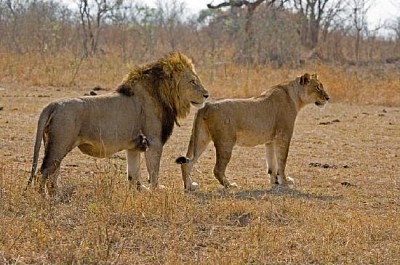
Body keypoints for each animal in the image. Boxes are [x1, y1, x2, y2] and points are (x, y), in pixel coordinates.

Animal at [27, 52, 209, 196]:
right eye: (193, 81)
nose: (207, 95)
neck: (163, 94)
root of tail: (53, 105)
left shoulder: (134, 145)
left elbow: (133, 173)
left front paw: (138, 190)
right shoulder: (154, 141)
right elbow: (154, 171)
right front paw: (156, 191)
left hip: (54, 144)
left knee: (53, 173)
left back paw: (56, 193)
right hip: (60, 144)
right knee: (43, 172)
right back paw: (45, 197)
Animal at [177, 73, 330, 191]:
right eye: (317, 87)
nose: (328, 98)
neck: (295, 97)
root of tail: (206, 105)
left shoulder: (271, 140)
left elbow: (272, 163)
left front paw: (275, 182)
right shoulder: (283, 136)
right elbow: (282, 161)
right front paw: (285, 182)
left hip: (201, 138)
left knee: (187, 162)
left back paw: (189, 186)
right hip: (225, 142)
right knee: (217, 169)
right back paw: (230, 185)